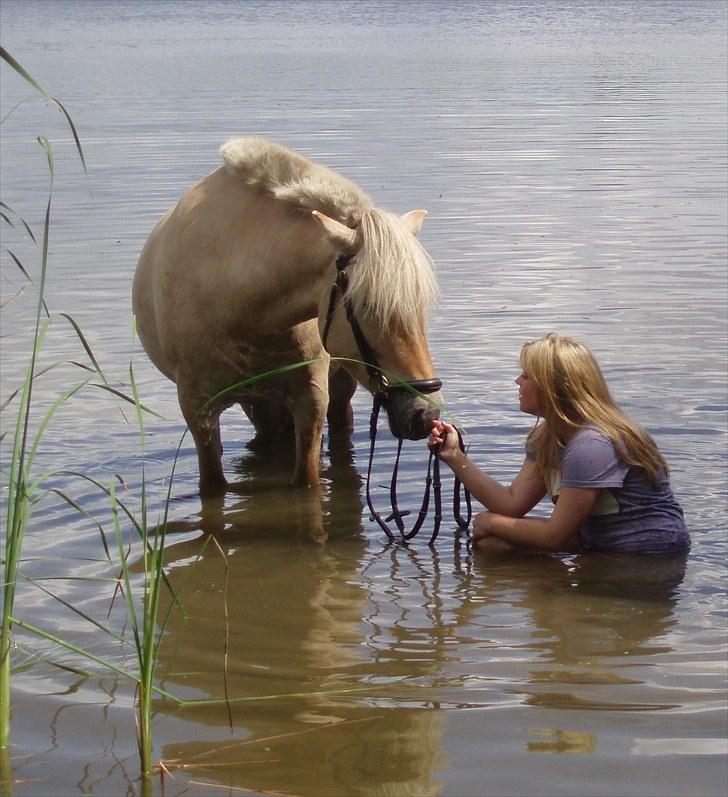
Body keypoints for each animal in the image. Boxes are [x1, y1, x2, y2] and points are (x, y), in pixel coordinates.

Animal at [132, 137, 444, 498]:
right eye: (366, 305)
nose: (426, 412)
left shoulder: (311, 400)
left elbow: (307, 483)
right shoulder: (199, 412)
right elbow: (213, 485)